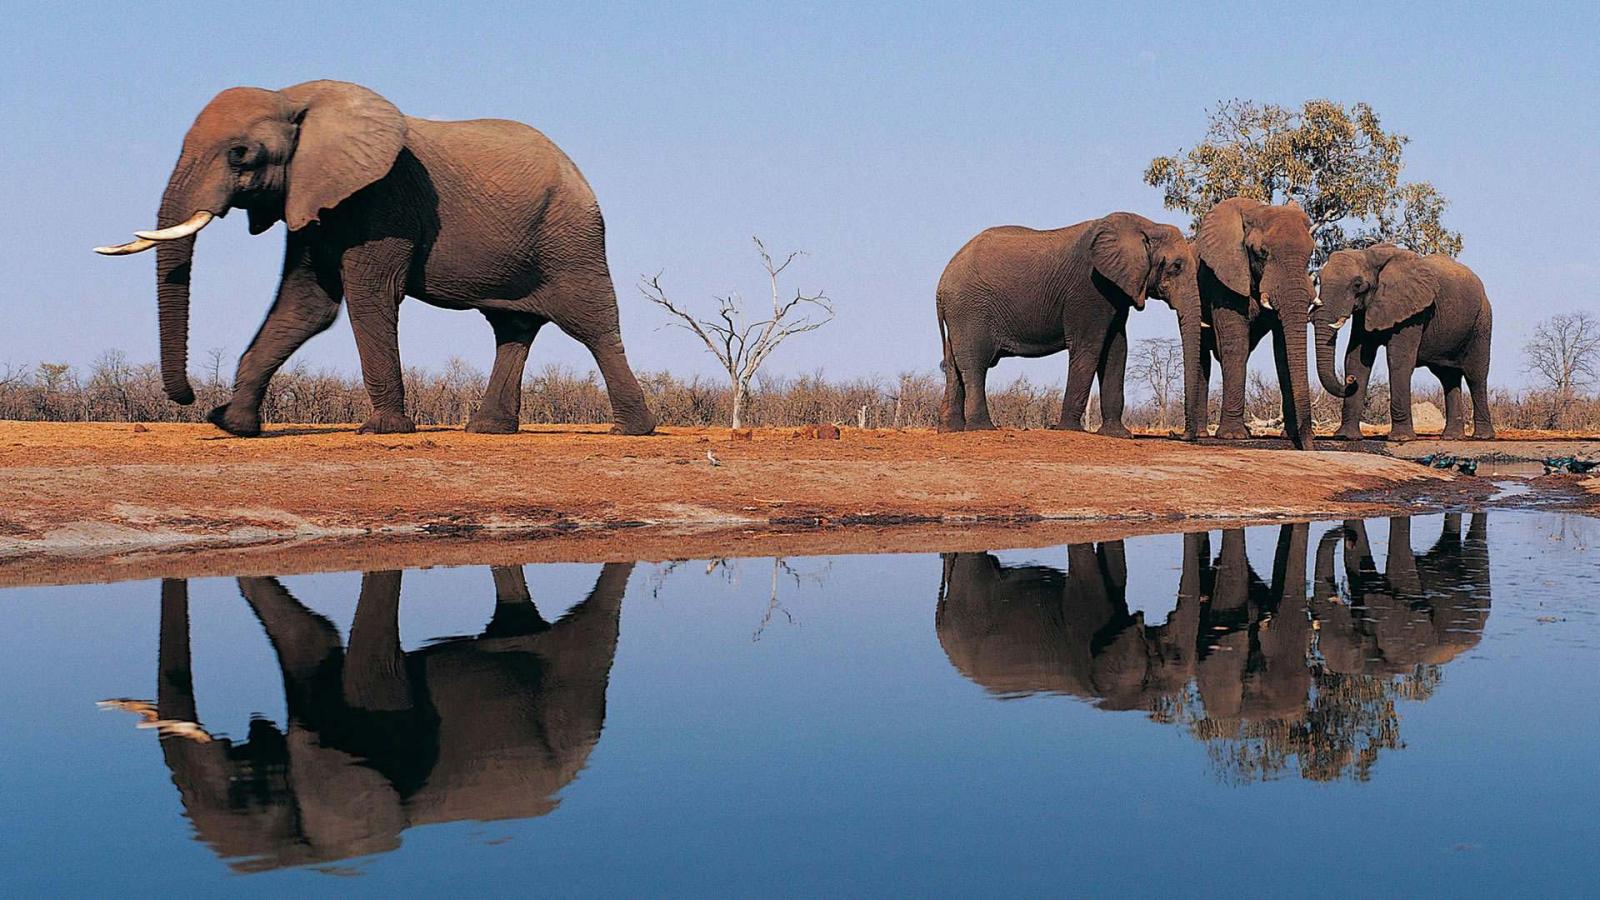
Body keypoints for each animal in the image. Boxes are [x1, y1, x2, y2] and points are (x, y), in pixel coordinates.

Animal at [94, 80, 656, 437]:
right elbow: (306, 305)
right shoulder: (315, 200)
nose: (189, 398)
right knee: (511, 327)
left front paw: (383, 430)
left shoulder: (382, 199)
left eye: (240, 154)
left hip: (573, 238)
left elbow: (369, 297)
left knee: (592, 324)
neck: (295, 99)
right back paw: (487, 430)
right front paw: (233, 425)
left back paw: (632, 431)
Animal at [936, 212, 1205, 437]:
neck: (1146, 226)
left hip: (960, 314)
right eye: (1176, 266)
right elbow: (1089, 348)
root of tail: (941, 282)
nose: (1176, 434)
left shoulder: (1116, 292)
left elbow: (1117, 350)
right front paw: (1068, 429)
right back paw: (982, 429)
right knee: (975, 364)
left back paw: (951, 430)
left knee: (954, 365)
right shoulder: (1089, 288)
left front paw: (1117, 434)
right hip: (970, 309)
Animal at [1193, 198, 1319, 448]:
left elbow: (1282, 351)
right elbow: (1235, 344)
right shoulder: (1223, 278)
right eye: (1262, 253)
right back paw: (1203, 434)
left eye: (1311, 253)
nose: (1310, 447)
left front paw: (1289, 436)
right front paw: (1233, 436)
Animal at [1313, 244, 1495, 441]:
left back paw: (1482, 437)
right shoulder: (1366, 311)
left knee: (1475, 376)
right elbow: (1356, 359)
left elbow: (1399, 360)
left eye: (1357, 284)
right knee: (1448, 378)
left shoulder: (1413, 312)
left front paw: (1401, 439)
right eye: (1319, 280)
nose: (1349, 380)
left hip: (1482, 323)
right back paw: (1452, 437)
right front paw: (1346, 437)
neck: (1368, 255)